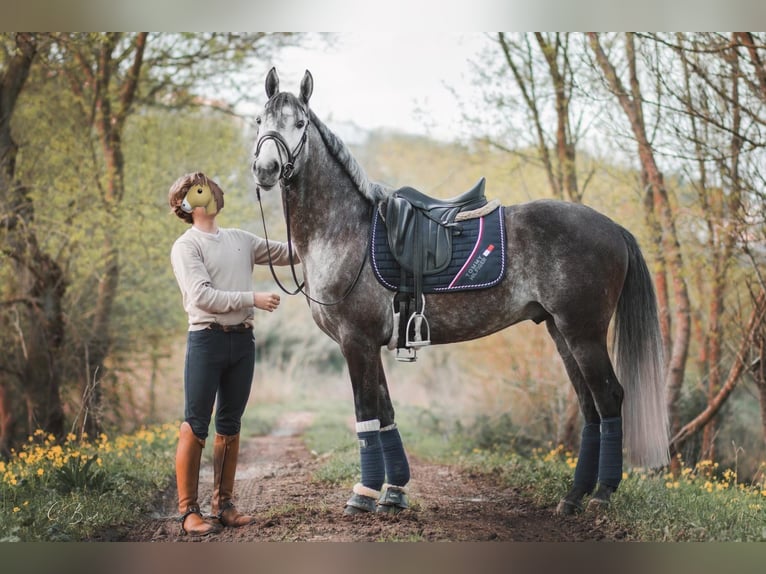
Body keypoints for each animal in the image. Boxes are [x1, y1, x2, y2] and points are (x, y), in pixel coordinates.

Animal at [252, 67, 672, 516]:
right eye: (260, 120)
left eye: (300, 124)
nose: (266, 168)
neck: (346, 230)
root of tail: (613, 228)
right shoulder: (371, 345)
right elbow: (386, 413)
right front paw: (394, 493)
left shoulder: (356, 341)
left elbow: (367, 414)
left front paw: (363, 494)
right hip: (562, 332)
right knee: (590, 405)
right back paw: (574, 495)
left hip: (584, 332)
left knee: (608, 398)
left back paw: (603, 492)